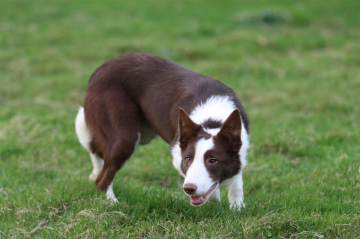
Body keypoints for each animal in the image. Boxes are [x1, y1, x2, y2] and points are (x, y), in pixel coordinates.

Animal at [75, 52, 250, 209]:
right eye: (188, 159)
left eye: (213, 160)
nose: (188, 189)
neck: (213, 120)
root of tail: (99, 70)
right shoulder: (177, 153)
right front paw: (216, 197)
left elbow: (237, 182)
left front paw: (237, 209)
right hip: (125, 135)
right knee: (102, 177)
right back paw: (112, 203)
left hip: (143, 134)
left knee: (97, 149)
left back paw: (95, 173)